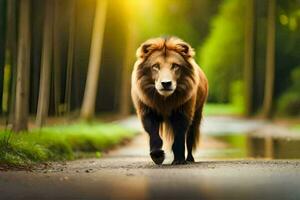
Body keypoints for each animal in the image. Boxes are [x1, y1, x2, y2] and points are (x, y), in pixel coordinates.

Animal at [131, 36, 209, 165]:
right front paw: (157, 155)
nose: (166, 83)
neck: (165, 100)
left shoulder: (183, 112)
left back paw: (190, 159)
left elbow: (179, 136)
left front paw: (179, 160)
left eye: (175, 66)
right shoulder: (147, 110)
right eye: (155, 66)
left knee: (190, 138)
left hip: (197, 114)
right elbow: (153, 133)